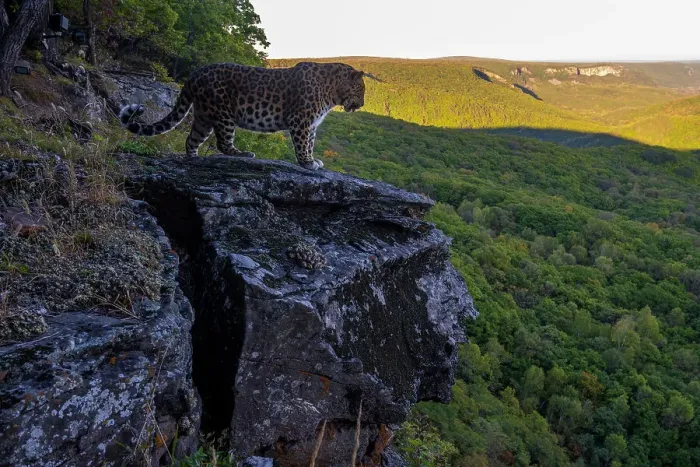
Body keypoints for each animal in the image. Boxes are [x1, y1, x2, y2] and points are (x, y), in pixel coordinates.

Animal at [119, 61, 368, 170]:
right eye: (361, 89)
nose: (363, 103)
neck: (332, 92)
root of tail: (194, 74)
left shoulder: (312, 124)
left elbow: (310, 143)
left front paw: (312, 159)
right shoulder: (301, 121)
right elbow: (302, 143)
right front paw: (307, 162)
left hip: (204, 116)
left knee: (191, 139)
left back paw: (194, 159)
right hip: (223, 113)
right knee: (223, 143)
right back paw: (243, 154)